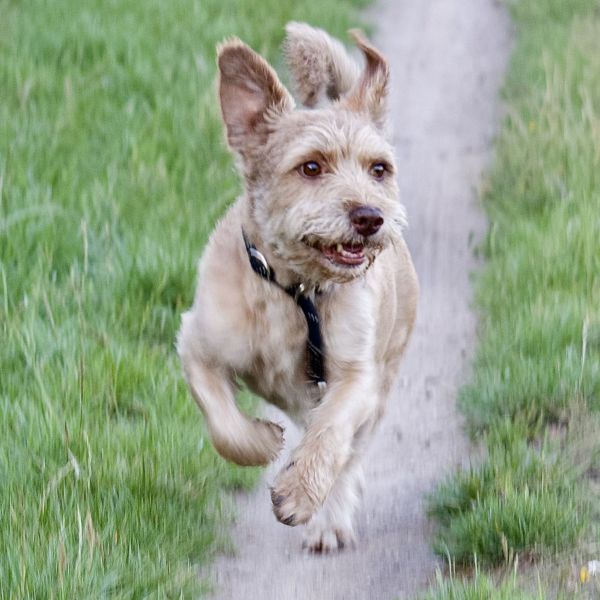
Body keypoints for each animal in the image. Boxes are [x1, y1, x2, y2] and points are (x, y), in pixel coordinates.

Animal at [177, 21, 418, 552]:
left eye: (378, 169)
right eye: (311, 167)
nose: (370, 216)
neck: (294, 292)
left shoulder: (356, 375)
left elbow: (331, 435)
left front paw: (300, 495)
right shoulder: (197, 344)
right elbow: (223, 423)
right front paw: (263, 441)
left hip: (383, 380)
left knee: (346, 454)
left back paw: (329, 521)